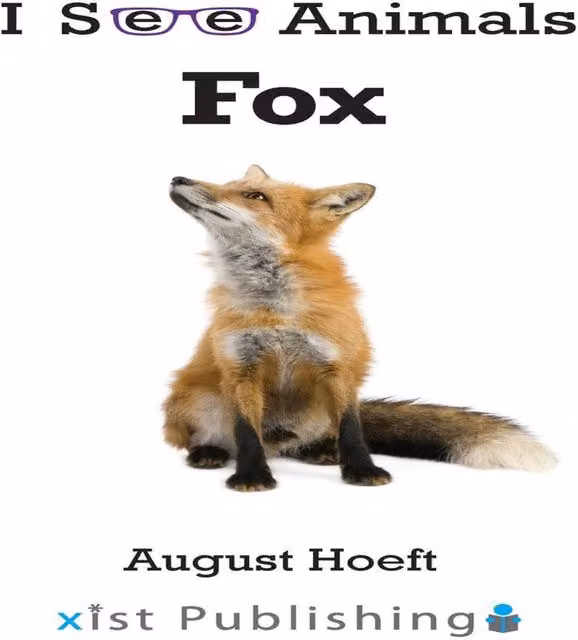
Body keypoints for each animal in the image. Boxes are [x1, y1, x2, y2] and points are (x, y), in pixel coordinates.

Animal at [163, 164, 557, 491]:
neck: (278, 310)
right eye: (230, 185)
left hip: (316, 411)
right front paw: (251, 475)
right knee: (215, 437)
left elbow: (352, 428)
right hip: (200, 400)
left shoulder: (338, 365)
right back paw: (208, 451)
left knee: (315, 438)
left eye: (254, 196)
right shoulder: (240, 366)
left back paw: (320, 451)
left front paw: (362, 470)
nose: (179, 178)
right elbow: (246, 432)